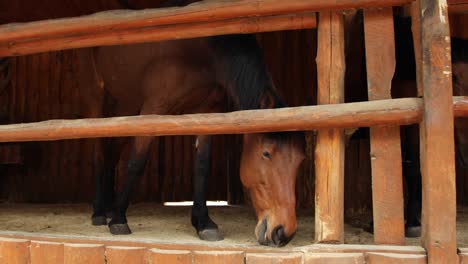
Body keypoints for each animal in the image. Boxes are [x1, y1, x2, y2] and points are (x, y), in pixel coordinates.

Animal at [77, 0, 304, 248]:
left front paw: (203, 223)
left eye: (299, 160)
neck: (202, 52)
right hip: (97, 96)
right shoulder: (154, 108)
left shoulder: (208, 111)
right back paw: (100, 212)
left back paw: (108, 206)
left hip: (127, 106)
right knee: (99, 151)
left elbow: (202, 166)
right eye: (266, 153)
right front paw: (119, 220)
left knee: (112, 150)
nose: (283, 232)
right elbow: (137, 162)